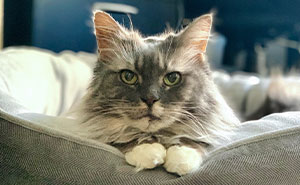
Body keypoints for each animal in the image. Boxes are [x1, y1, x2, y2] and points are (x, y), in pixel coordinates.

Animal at [71, 10, 240, 176]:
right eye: (128, 77)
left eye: (172, 78)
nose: (150, 99)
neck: (159, 136)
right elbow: (122, 137)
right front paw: (148, 151)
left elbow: (192, 139)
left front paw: (181, 158)